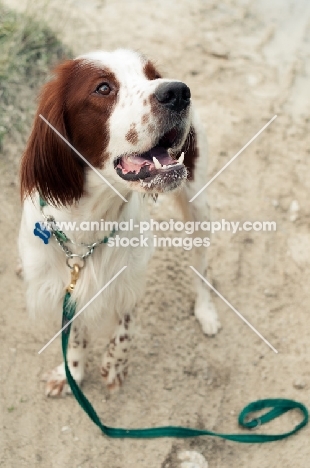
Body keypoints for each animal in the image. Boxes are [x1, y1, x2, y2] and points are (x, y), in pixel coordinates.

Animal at [18, 50, 220, 394]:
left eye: (153, 76)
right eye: (103, 88)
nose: (178, 92)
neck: (89, 220)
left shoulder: (129, 276)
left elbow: (124, 327)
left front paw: (115, 365)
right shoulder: (66, 284)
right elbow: (76, 335)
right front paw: (72, 373)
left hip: (197, 204)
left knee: (201, 263)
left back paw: (205, 310)